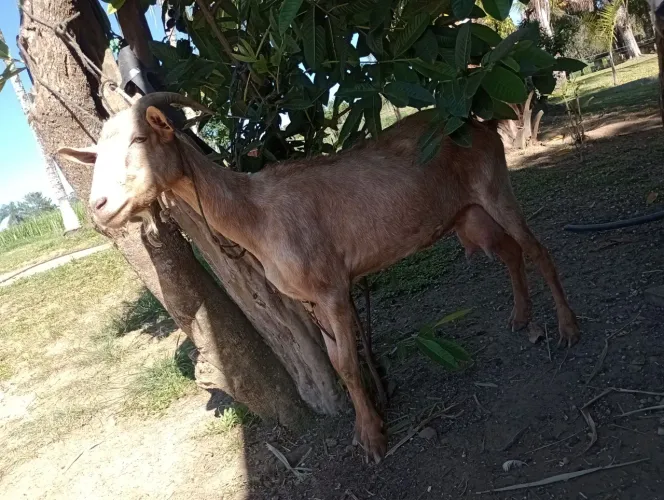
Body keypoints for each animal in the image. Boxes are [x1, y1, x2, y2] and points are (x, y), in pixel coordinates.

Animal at [59, 92, 580, 463]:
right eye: (96, 156)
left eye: (139, 141)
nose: (99, 207)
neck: (255, 213)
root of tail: (480, 125)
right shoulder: (309, 300)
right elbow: (333, 361)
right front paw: (364, 427)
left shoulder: (332, 289)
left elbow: (346, 364)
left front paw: (373, 440)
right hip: (468, 215)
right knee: (509, 253)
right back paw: (520, 317)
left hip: (495, 188)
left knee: (536, 249)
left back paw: (568, 327)